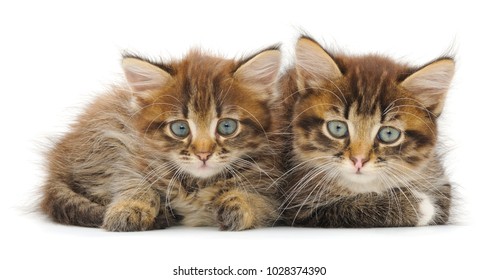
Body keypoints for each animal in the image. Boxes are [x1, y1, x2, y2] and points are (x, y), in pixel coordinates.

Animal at [40, 48, 282, 232]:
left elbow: (260, 202)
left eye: (227, 126)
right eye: (180, 128)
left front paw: (239, 203)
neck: (197, 183)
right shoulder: (128, 149)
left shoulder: (274, 188)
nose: (203, 154)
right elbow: (132, 181)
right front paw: (129, 207)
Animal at [280, 36, 456, 228]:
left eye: (388, 134)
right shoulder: (299, 208)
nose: (358, 160)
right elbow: (348, 208)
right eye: (337, 128)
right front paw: (417, 207)